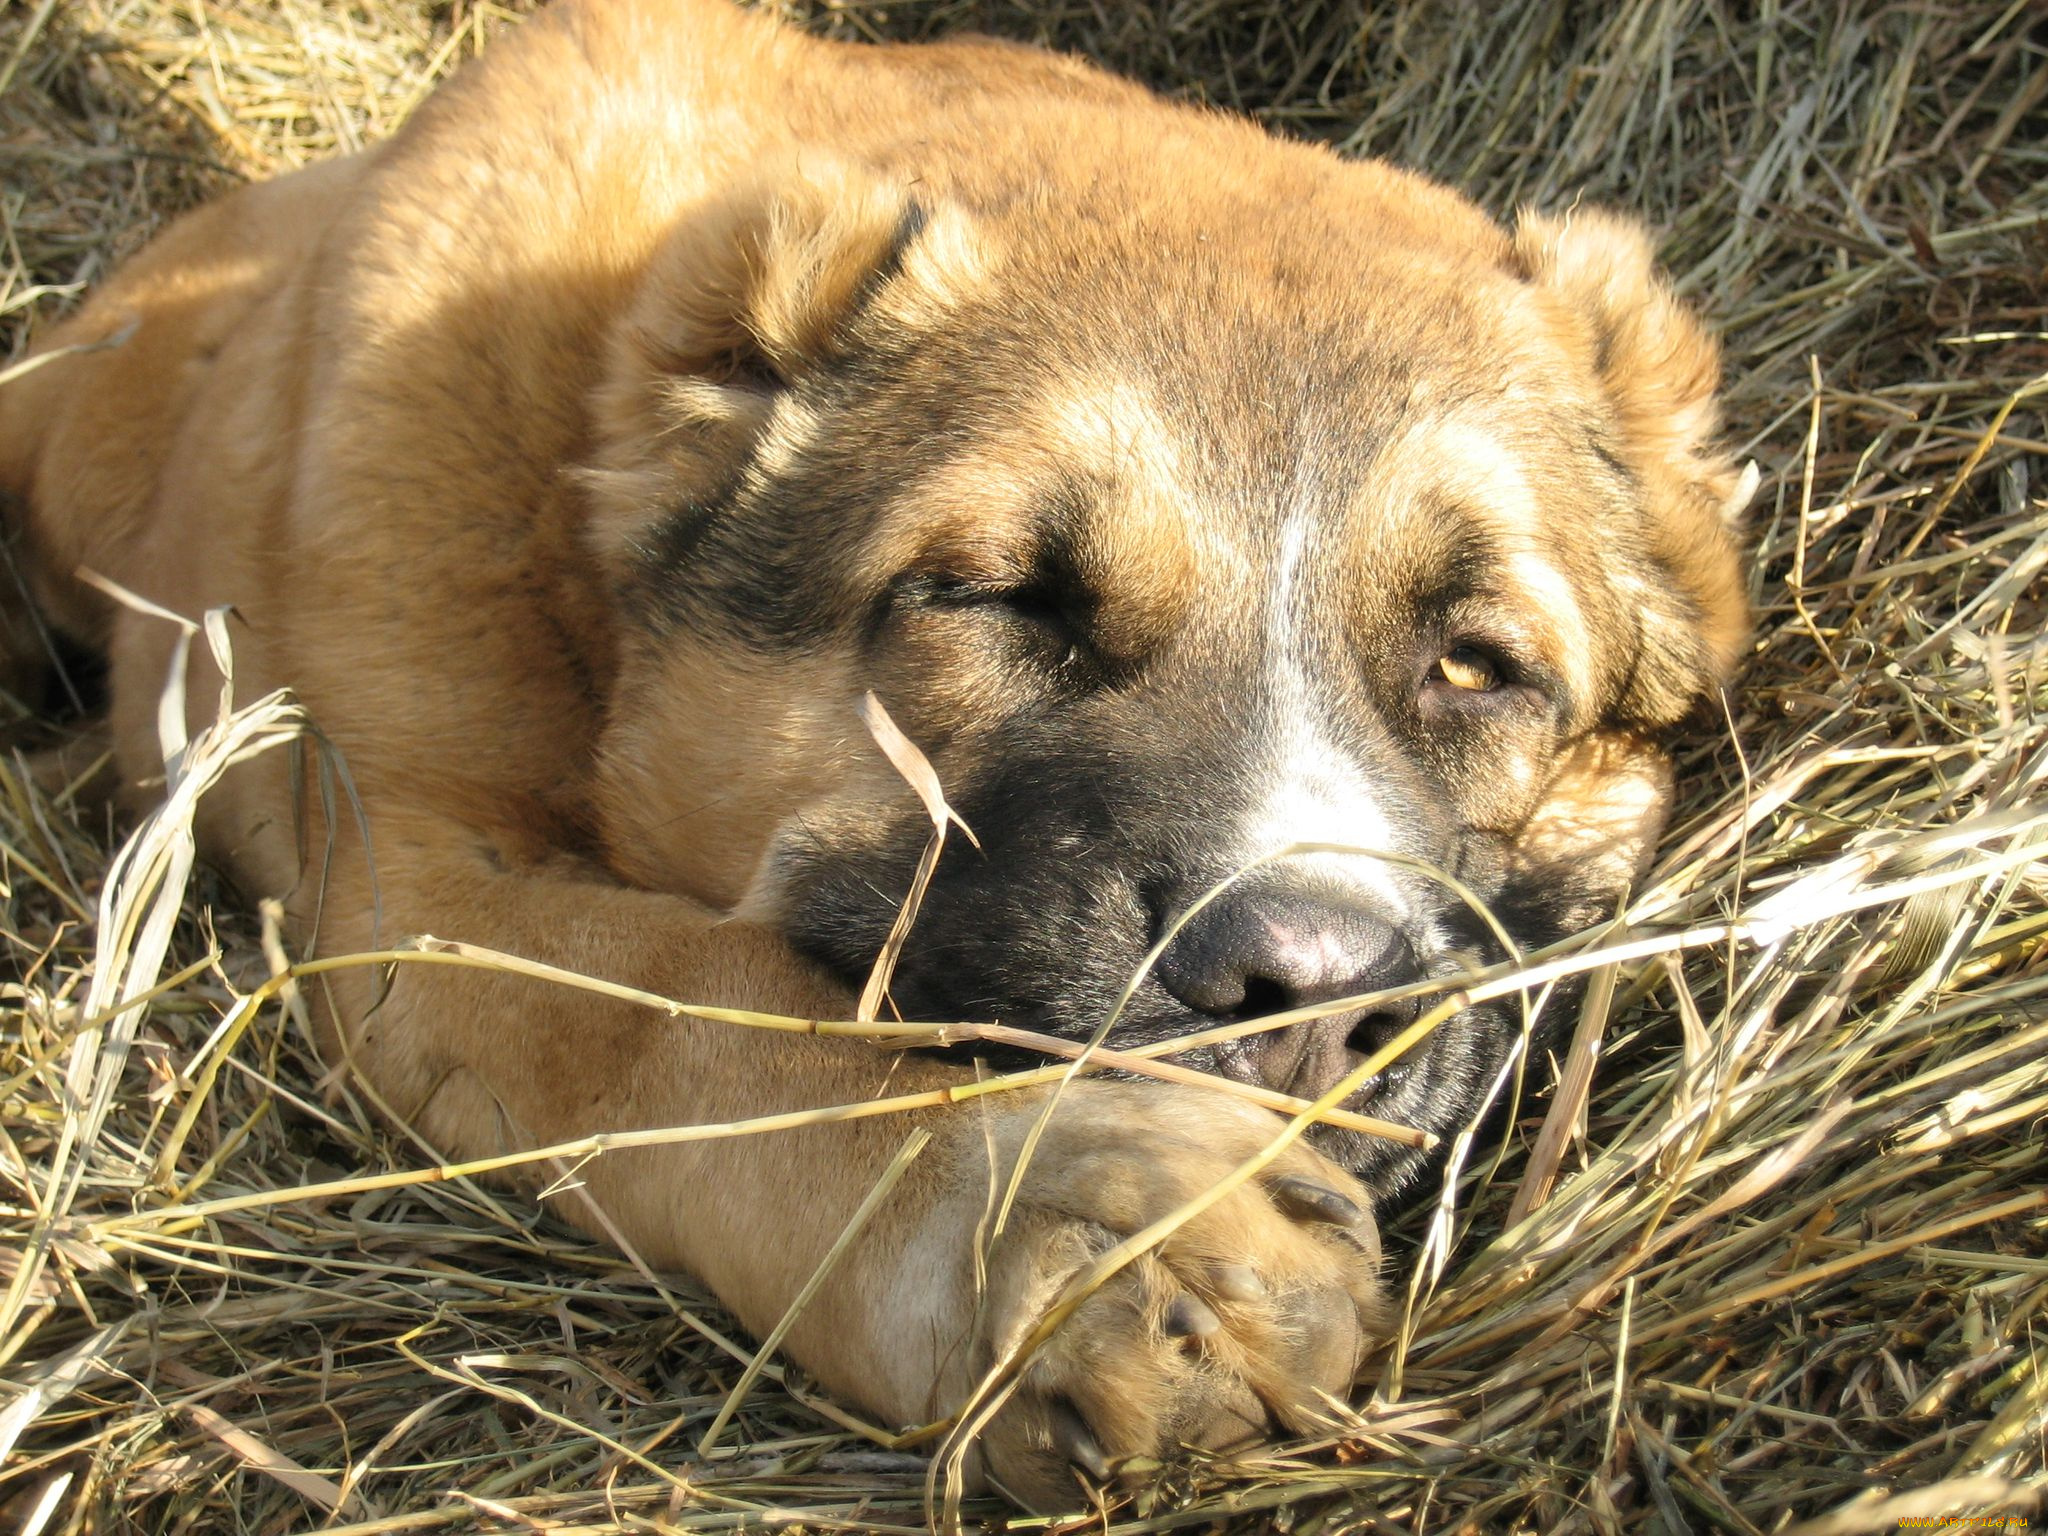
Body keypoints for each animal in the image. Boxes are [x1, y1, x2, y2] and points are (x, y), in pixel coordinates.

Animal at [0, 0, 1753, 1515]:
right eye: (999, 598)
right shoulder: (414, 870)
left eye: (1476, 664)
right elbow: (662, 1012)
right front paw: (1048, 1218)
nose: (1311, 989)